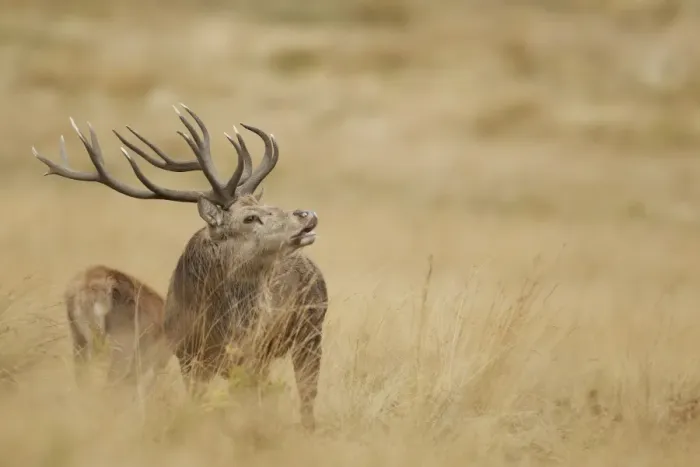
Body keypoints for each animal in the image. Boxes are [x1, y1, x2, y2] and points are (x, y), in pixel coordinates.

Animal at [32, 104, 328, 431]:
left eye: (270, 206)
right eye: (250, 217)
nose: (306, 214)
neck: (214, 323)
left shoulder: (249, 354)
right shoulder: (186, 357)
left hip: (310, 332)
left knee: (307, 393)